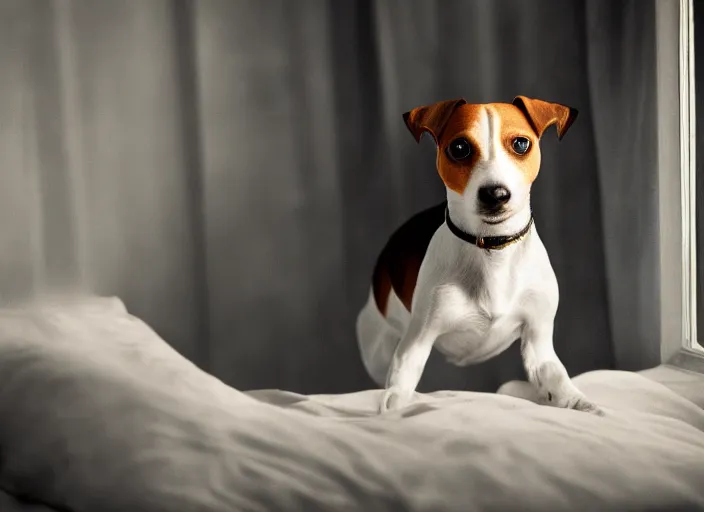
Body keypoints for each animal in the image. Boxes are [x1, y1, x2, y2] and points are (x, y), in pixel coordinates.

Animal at [354, 95, 604, 416]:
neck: (492, 249)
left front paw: (577, 401)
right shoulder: (417, 340)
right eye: (459, 148)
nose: (495, 194)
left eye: (521, 144)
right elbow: (402, 378)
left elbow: (555, 376)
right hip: (377, 345)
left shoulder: (538, 340)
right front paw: (395, 407)